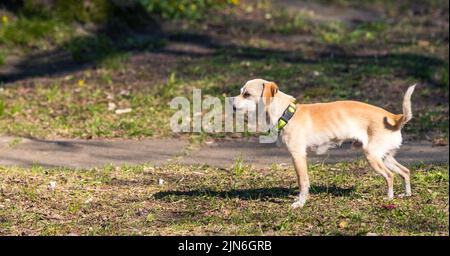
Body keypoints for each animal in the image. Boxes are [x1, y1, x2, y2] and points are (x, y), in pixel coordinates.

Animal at [234, 79, 416, 209]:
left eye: (247, 94)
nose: (232, 104)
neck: (286, 113)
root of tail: (395, 117)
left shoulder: (298, 156)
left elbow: (303, 181)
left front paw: (301, 203)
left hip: (373, 157)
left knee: (390, 176)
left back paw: (389, 198)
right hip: (384, 157)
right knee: (405, 171)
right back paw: (406, 194)